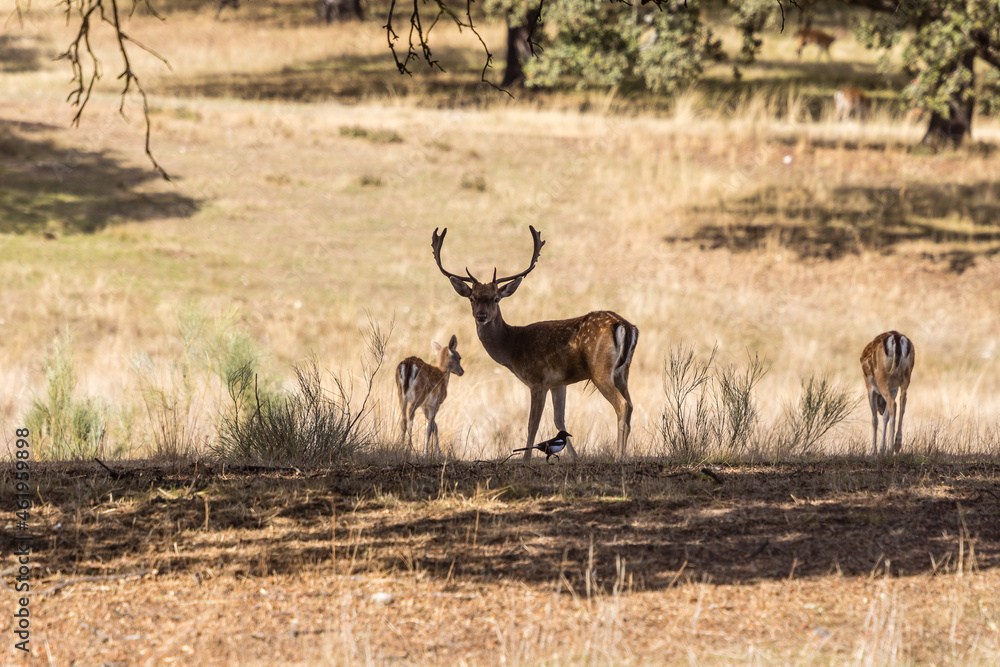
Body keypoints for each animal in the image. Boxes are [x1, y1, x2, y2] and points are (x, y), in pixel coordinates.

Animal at [431, 226, 639, 460]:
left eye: (495, 298)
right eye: (472, 298)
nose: (481, 316)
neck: (512, 347)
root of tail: (625, 325)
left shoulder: (537, 380)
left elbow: (532, 424)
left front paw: (526, 458)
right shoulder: (559, 382)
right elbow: (560, 420)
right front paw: (574, 457)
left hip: (599, 369)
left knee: (622, 405)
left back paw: (619, 454)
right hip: (622, 372)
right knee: (631, 405)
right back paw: (624, 453)